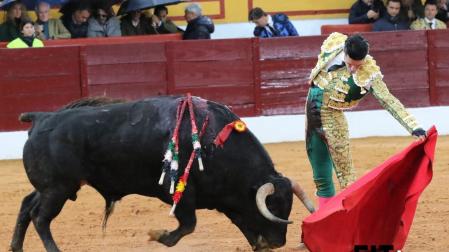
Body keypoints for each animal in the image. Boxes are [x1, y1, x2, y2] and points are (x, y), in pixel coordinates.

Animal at [8, 95, 314, 251]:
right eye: (274, 206)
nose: (278, 243)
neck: (215, 142)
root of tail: (41, 118)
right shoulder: (182, 192)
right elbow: (188, 225)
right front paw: (159, 236)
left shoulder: (225, 198)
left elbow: (241, 222)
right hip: (58, 189)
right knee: (40, 218)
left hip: (52, 187)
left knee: (26, 206)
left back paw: (15, 247)